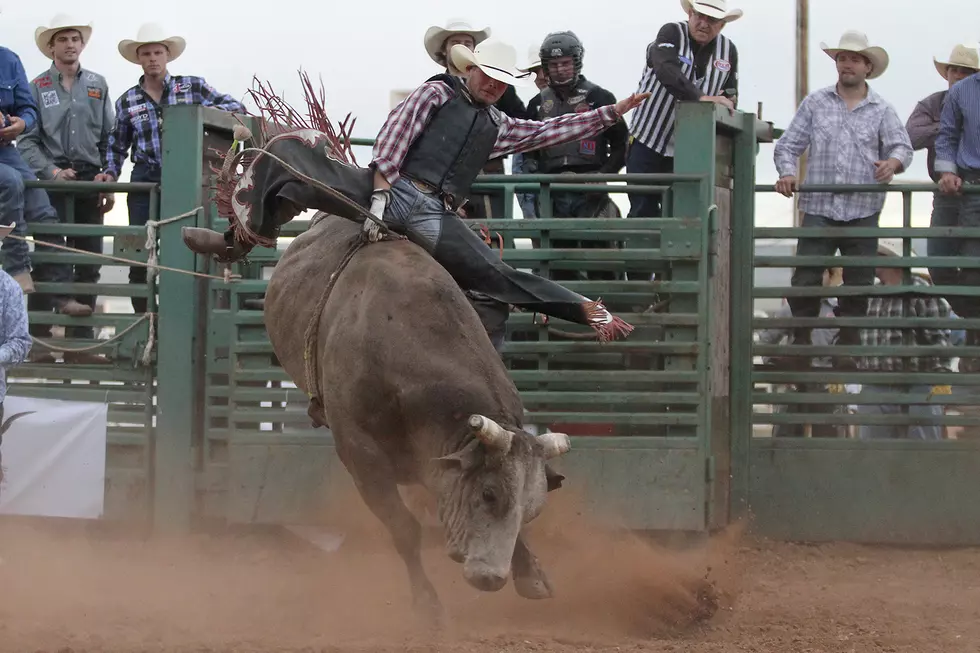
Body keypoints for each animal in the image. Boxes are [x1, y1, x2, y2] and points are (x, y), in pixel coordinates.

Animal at [266, 213, 576, 620]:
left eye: (532, 510)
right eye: (488, 493)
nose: (492, 578)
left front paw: (531, 574)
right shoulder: (361, 456)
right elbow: (404, 529)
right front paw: (428, 603)